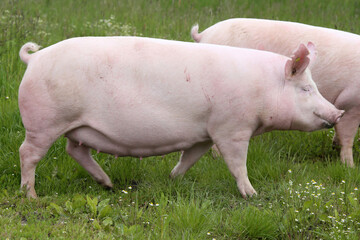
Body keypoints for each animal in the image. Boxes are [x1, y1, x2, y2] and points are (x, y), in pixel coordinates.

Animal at [17, 36, 344, 198]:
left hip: (77, 127)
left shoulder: (205, 132)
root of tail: (35, 58)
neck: (262, 89)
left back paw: (108, 185)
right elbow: (237, 164)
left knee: (74, 150)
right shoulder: (232, 128)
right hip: (44, 122)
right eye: (306, 88)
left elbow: (189, 158)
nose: (338, 113)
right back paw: (31, 196)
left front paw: (172, 179)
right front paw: (252, 195)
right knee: (27, 153)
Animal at [191, 18, 360, 167]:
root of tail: (204, 34)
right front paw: (349, 167)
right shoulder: (350, 103)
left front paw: (336, 148)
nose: (339, 113)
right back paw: (217, 158)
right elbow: (347, 136)